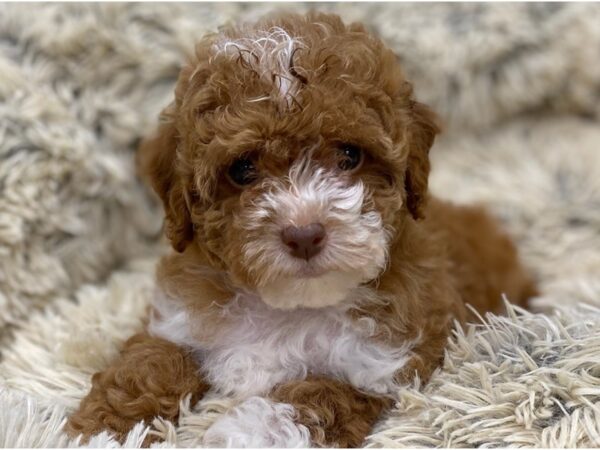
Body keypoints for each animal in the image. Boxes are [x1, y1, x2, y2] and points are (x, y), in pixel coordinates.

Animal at [68, 10, 536, 446]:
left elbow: (314, 398)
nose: (304, 234)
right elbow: (148, 364)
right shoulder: (176, 320)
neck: (290, 305)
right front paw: (108, 429)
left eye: (350, 155)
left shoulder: (379, 366)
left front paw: (247, 434)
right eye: (242, 169)